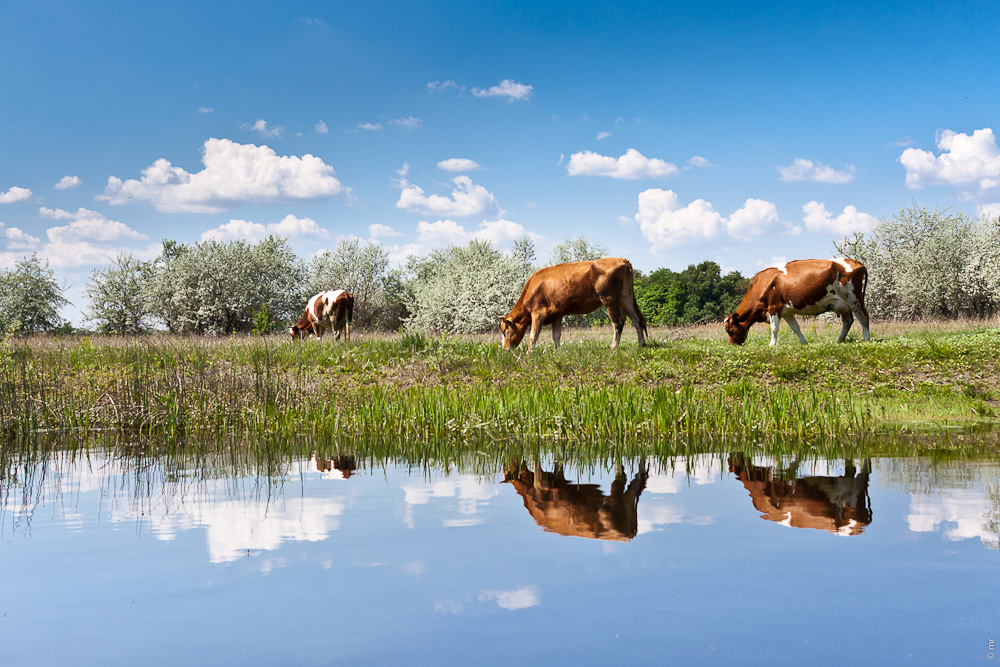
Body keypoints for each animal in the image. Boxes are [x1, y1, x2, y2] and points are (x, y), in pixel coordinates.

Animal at [500, 258, 648, 354]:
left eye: (504, 330)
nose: (505, 350)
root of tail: (622, 260)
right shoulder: (557, 314)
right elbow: (556, 336)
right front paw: (557, 352)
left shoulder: (538, 312)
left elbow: (533, 335)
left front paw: (529, 353)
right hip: (626, 297)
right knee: (636, 319)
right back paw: (641, 344)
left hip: (609, 299)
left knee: (618, 322)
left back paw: (614, 348)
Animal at [500, 464, 648, 544]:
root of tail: (629, 536)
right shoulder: (558, 477)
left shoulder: (542, 481)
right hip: (627, 503)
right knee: (636, 482)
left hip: (611, 504)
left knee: (621, 476)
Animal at [724, 258, 872, 348]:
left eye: (729, 329)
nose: (731, 345)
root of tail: (855, 261)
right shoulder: (786, 312)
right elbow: (796, 327)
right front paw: (803, 342)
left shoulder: (773, 307)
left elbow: (774, 328)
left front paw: (772, 344)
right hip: (843, 305)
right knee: (848, 321)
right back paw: (839, 340)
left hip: (854, 298)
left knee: (863, 317)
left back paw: (866, 339)